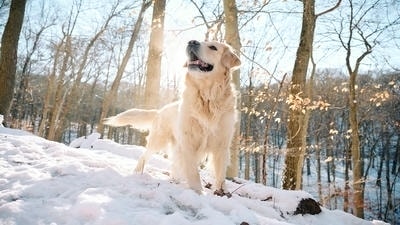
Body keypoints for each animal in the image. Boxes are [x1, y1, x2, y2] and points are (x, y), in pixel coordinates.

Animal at [104, 40, 241, 193]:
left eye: (213, 47)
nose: (192, 41)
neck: (207, 98)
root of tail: (159, 110)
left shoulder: (221, 145)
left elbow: (220, 174)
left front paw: (221, 192)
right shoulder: (189, 143)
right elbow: (193, 173)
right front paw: (197, 192)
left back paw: (174, 180)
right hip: (158, 141)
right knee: (144, 156)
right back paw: (138, 173)